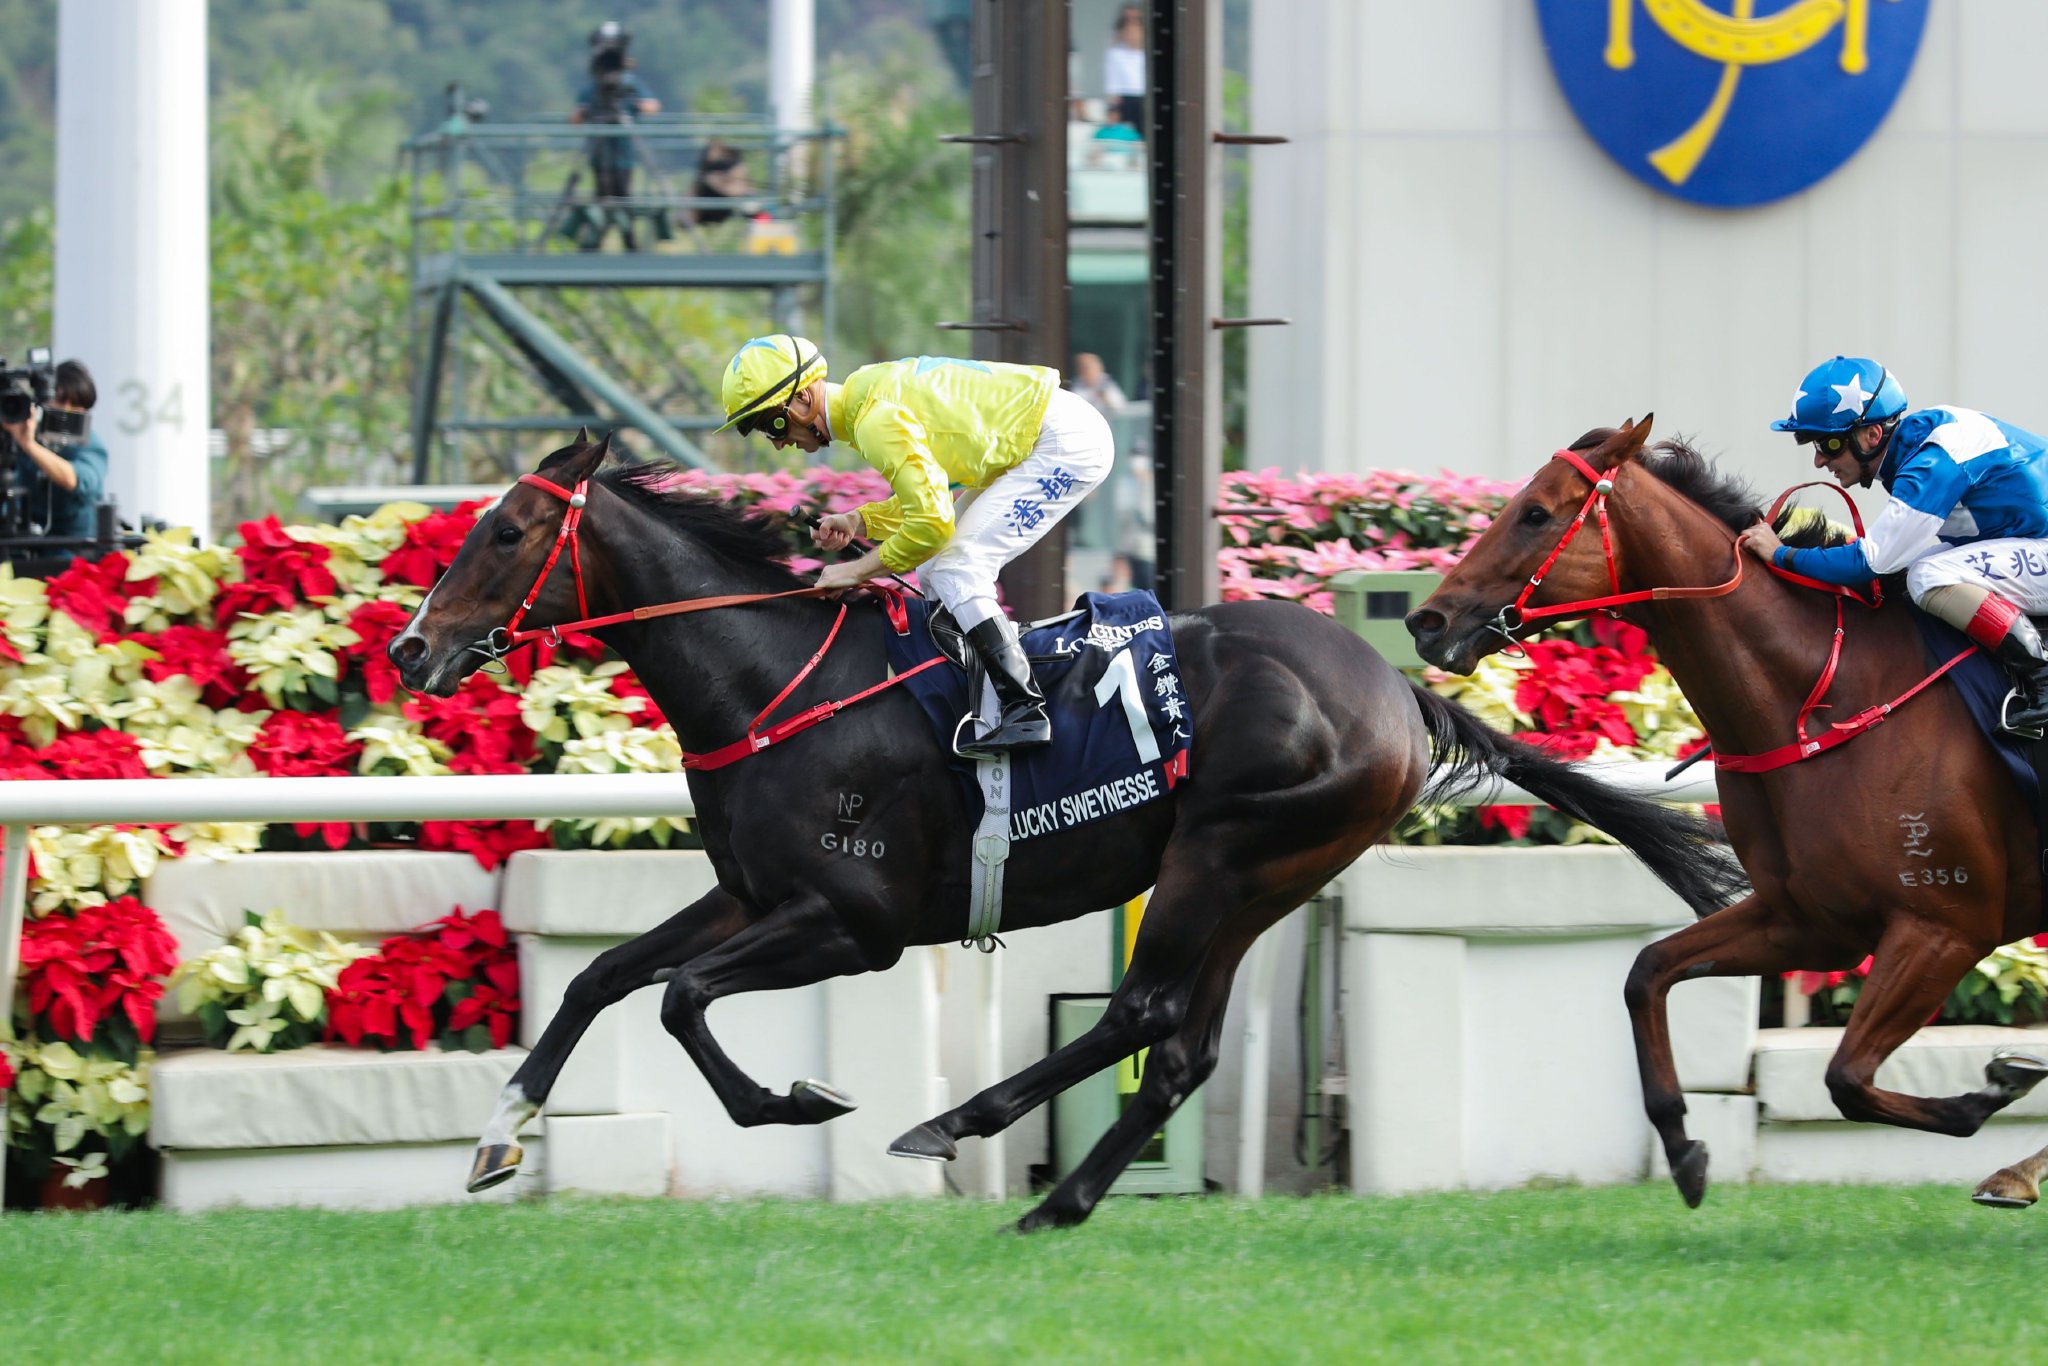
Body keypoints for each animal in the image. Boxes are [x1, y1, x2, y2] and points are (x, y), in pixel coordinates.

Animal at [387, 436, 1744, 1228]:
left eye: (505, 532)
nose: (409, 647)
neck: (770, 681)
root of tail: (1392, 684)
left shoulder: (853, 922)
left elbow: (678, 1000)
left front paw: (797, 1100)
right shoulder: (751, 894)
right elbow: (608, 978)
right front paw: (497, 1139)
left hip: (1223, 856)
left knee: (1142, 1015)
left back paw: (960, 1125)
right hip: (1260, 879)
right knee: (1180, 1046)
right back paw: (1060, 1200)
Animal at [1409, 413, 2048, 1204]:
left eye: (1535, 512)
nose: (1427, 621)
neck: (1821, 702)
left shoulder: (1945, 927)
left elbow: (1846, 1078)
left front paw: (1993, 1098)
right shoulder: (1811, 923)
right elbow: (1646, 970)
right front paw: (1683, 1147)